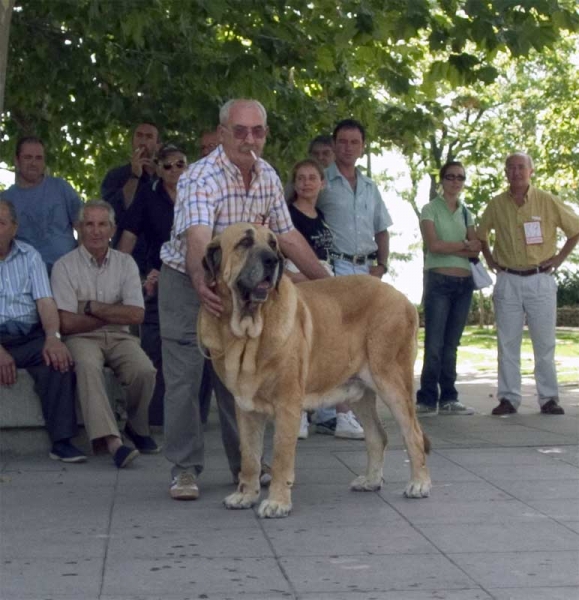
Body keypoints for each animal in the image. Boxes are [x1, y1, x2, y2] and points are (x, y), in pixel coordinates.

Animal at [199, 223, 430, 516]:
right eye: (245, 243)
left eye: (273, 244)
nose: (272, 260)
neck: (247, 334)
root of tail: (403, 298)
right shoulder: (246, 408)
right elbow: (249, 457)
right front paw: (245, 495)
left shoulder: (287, 405)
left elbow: (281, 456)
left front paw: (277, 502)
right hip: (359, 391)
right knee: (378, 435)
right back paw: (371, 480)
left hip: (392, 381)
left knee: (413, 434)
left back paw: (419, 484)